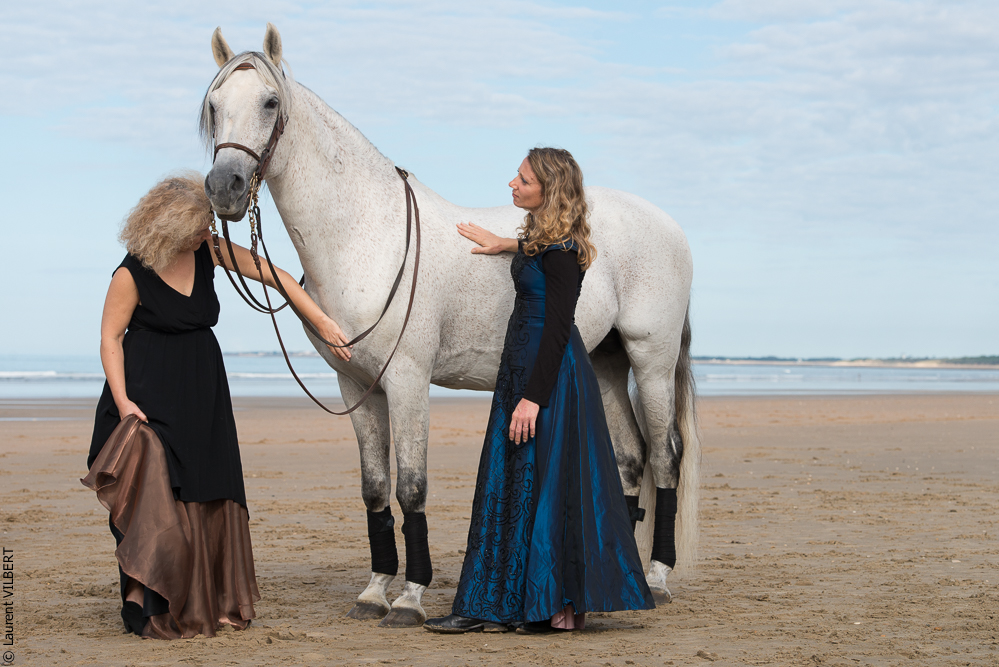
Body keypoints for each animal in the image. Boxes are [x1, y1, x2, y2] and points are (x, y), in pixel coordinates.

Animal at [201, 23, 699, 628]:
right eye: (214, 105)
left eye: (270, 102)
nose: (224, 187)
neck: (368, 233)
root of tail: (667, 225)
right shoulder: (356, 385)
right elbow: (375, 489)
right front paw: (374, 592)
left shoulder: (408, 381)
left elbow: (411, 488)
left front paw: (409, 600)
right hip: (605, 362)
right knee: (631, 458)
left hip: (650, 361)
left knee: (666, 456)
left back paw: (658, 580)